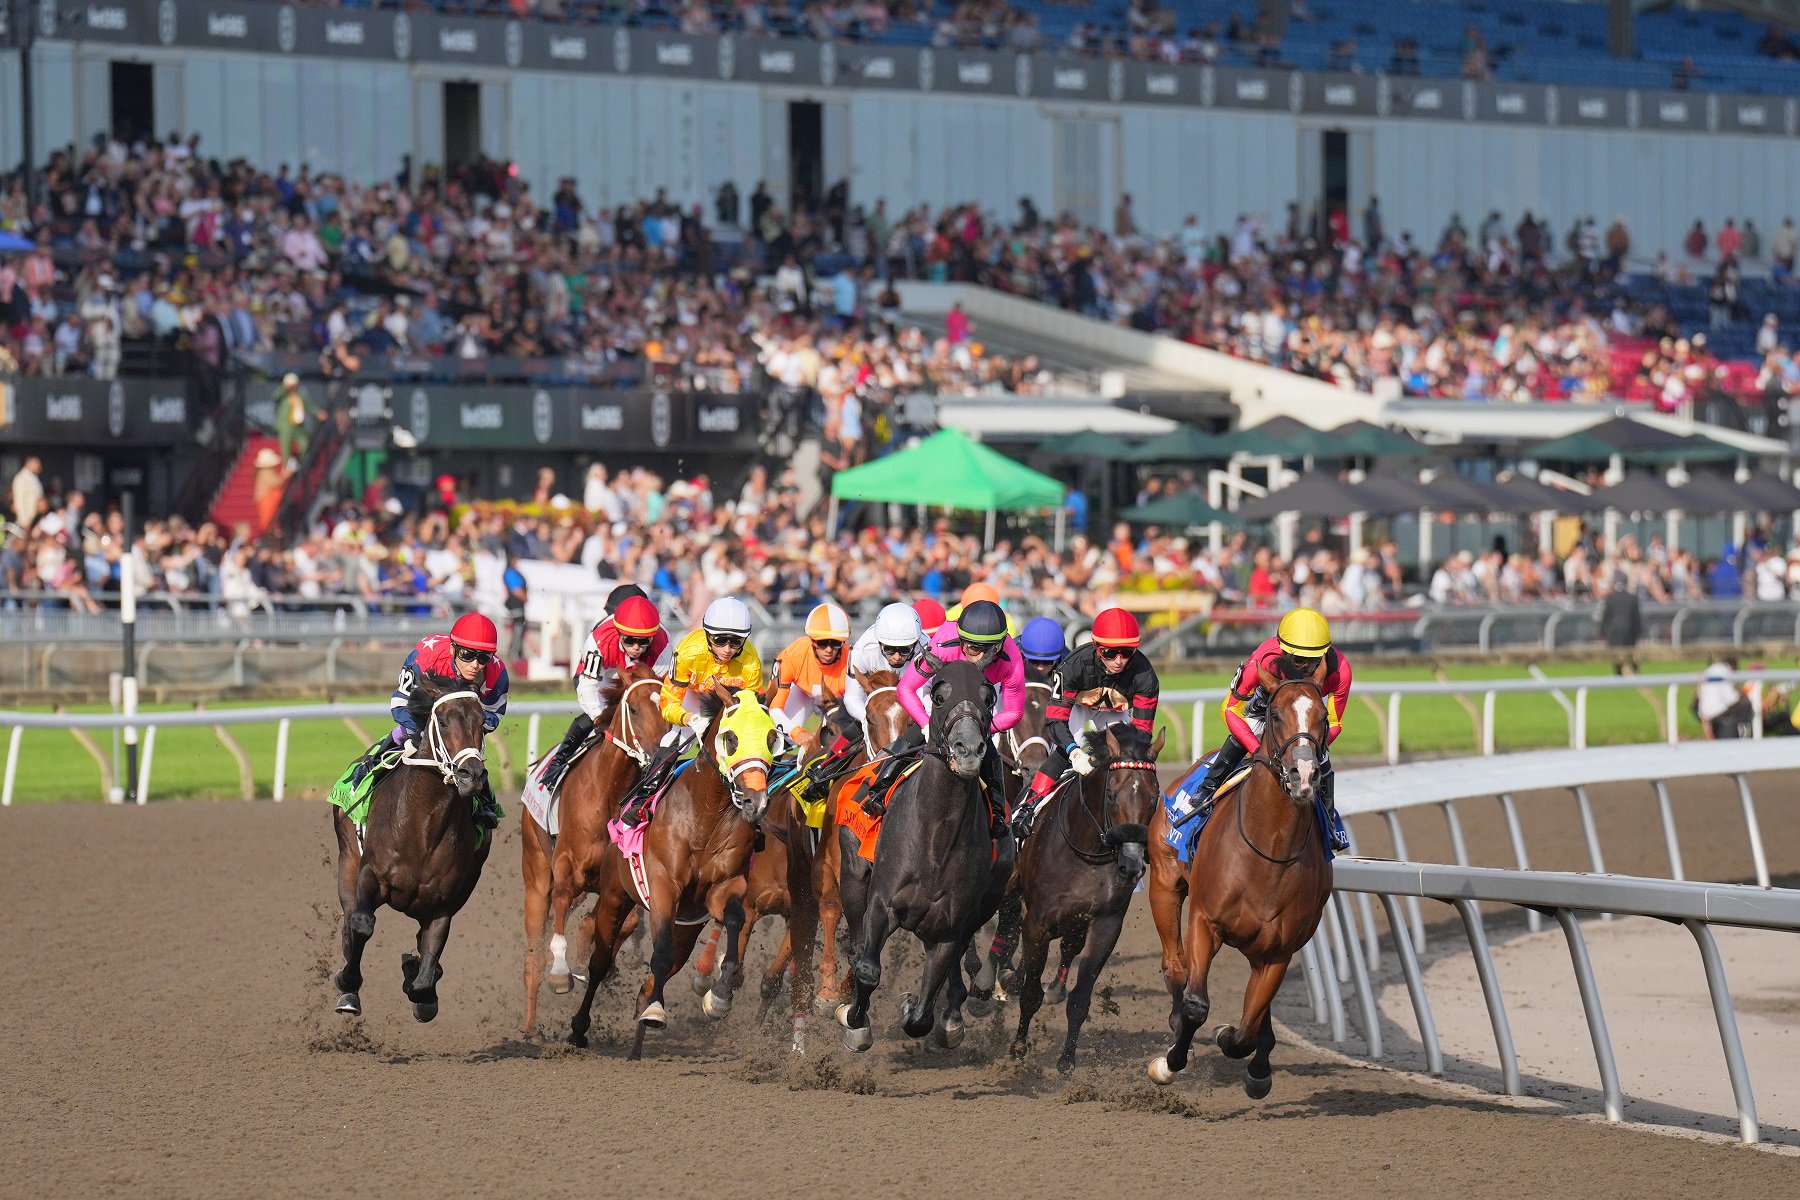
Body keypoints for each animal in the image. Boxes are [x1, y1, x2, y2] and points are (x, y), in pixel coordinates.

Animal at [331, 676, 493, 1021]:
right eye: (442, 722)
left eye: (483, 724)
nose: (471, 775)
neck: (422, 827)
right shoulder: (371, 873)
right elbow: (361, 925)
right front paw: (347, 982)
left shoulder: (445, 901)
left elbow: (428, 963)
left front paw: (418, 982)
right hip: (347, 858)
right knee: (350, 920)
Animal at [518, 662, 666, 1036]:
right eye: (633, 709)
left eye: (668, 707)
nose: (660, 756)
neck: (607, 792)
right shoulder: (566, 867)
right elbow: (560, 908)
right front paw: (561, 972)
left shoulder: (621, 879)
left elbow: (623, 924)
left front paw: (596, 960)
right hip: (536, 871)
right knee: (534, 954)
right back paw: (529, 1026)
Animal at [568, 683, 774, 1057]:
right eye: (731, 738)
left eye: (771, 737)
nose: (756, 802)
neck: (706, 817)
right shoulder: (664, 887)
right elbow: (658, 955)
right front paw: (656, 1011)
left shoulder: (726, 886)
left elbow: (734, 921)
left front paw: (719, 997)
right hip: (615, 896)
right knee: (600, 961)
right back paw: (579, 1029)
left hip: (686, 929)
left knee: (652, 978)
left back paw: (636, 1046)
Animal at [838, 662, 1008, 1057]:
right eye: (939, 696)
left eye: (989, 697)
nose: (968, 750)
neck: (935, 842)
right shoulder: (881, 905)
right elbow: (868, 969)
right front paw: (857, 1025)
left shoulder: (949, 928)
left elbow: (921, 1017)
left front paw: (918, 1008)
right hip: (852, 877)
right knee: (856, 946)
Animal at [1144, 662, 1332, 1101]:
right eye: (1276, 715)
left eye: (1323, 716)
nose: (1303, 776)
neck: (1268, 851)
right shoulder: (1204, 922)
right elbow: (1196, 1004)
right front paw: (1170, 1061)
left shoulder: (1280, 949)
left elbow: (1247, 1028)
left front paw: (1250, 1061)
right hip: (1164, 883)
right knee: (1175, 967)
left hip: (1256, 945)